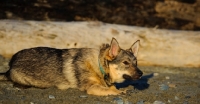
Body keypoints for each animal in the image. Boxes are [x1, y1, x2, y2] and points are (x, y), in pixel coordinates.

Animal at [0, 37, 143, 95]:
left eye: (136, 63)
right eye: (126, 63)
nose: (141, 74)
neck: (99, 67)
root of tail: (10, 65)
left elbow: (111, 87)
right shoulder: (91, 88)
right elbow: (111, 90)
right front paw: (120, 92)